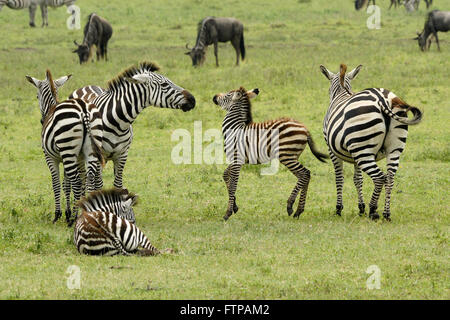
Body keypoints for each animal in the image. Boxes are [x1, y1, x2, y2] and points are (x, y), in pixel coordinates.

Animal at [26, 69, 103, 225]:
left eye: (37, 96)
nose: (42, 120)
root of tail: (83, 108)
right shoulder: (74, 157)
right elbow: (66, 184)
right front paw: (68, 212)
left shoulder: (51, 157)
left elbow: (56, 183)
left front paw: (58, 214)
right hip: (89, 150)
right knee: (90, 179)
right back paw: (89, 212)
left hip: (68, 149)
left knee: (77, 182)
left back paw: (73, 219)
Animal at [68, 61, 195, 189]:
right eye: (164, 84)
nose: (192, 100)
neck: (117, 124)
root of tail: (86, 86)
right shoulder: (98, 155)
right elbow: (98, 185)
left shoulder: (123, 154)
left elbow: (118, 184)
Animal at [213, 85, 328, 220]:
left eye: (227, 95)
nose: (214, 97)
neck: (235, 129)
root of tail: (304, 128)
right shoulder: (237, 160)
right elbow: (225, 176)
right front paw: (235, 206)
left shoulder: (237, 159)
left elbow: (232, 185)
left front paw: (227, 213)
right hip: (292, 156)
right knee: (304, 176)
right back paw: (298, 210)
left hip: (287, 156)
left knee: (305, 174)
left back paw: (290, 205)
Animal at [320, 63, 422, 221]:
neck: (341, 94)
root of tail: (382, 99)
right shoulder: (353, 154)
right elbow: (358, 179)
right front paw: (360, 207)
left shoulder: (332, 151)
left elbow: (339, 178)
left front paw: (339, 209)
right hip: (392, 149)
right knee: (390, 177)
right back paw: (386, 213)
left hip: (363, 150)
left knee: (379, 178)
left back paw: (373, 210)